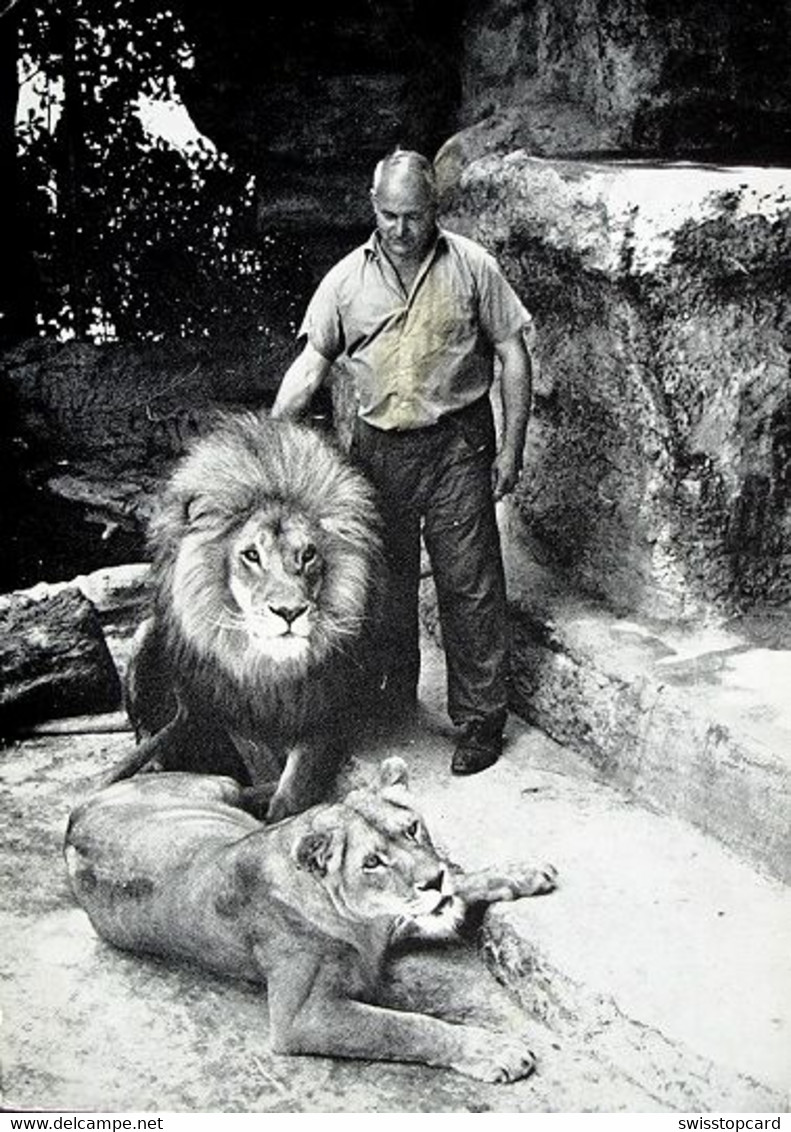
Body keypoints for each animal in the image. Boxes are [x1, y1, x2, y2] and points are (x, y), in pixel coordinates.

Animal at [65, 756, 559, 1082]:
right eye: (372, 863)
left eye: (412, 829)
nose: (432, 881)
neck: (362, 924)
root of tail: (79, 808)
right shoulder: (303, 1017)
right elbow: (406, 1028)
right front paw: (493, 1050)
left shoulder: (386, 925)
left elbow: (466, 885)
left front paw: (519, 873)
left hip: (220, 789)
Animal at [104, 412, 384, 819]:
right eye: (251, 555)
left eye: (308, 555)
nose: (289, 611)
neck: (269, 669)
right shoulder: (232, 710)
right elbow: (260, 762)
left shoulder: (325, 705)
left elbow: (298, 780)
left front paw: (280, 809)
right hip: (144, 637)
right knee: (145, 730)